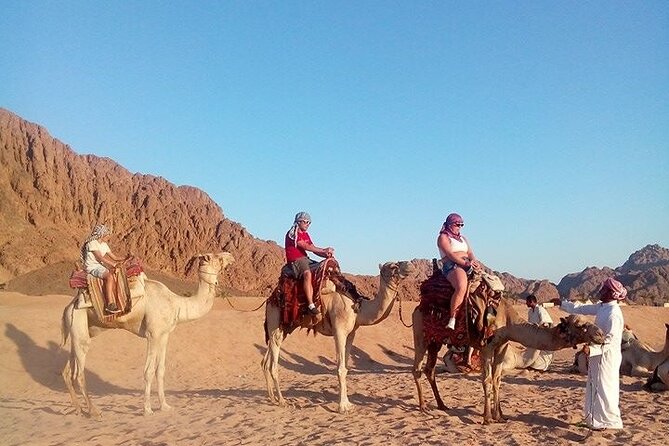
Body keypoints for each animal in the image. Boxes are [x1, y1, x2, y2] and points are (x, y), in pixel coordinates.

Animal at [61, 252, 234, 418]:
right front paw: (147, 409)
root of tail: (68, 307)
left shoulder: (164, 335)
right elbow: (148, 371)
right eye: (214, 256)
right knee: (79, 374)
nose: (230, 256)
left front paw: (165, 406)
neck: (176, 304)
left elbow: (161, 370)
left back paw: (78, 410)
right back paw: (95, 412)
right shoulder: (153, 334)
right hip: (79, 323)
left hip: (79, 331)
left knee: (67, 371)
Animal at [262, 261, 414, 413]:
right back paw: (282, 401)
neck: (358, 309)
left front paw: (349, 404)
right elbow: (340, 369)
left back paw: (272, 398)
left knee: (267, 359)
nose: (409, 265)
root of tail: (269, 300)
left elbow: (346, 367)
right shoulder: (339, 331)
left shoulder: (351, 333)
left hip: (284, 327)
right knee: (273, 363)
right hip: (275, 319)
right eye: (393, 266)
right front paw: (342, 407)